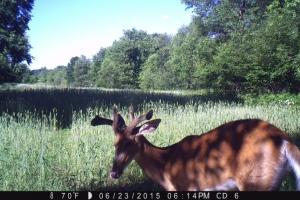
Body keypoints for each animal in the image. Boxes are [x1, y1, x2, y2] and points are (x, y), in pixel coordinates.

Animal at [91, 108, 300, 191]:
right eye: (115, 144)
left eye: (130, 143)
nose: (114, 173)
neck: (165, 165)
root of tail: (285, 140)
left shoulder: (186, 187)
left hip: (255, 182)